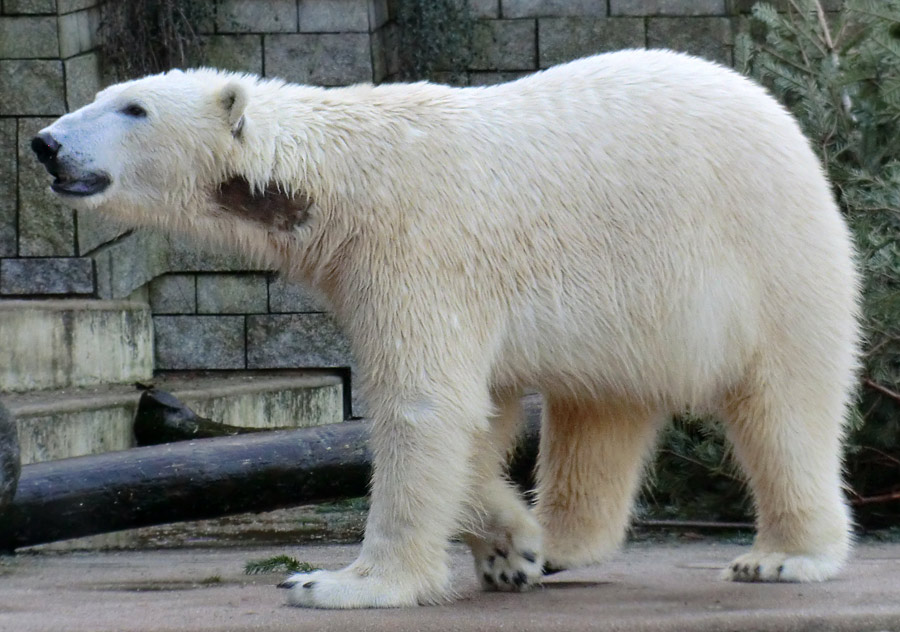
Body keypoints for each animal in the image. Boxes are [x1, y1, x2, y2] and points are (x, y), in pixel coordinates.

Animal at [35, 49, 860, 608]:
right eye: (102, 95)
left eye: (134, 109)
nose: (45, 142)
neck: (336, 181)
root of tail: (788, 126)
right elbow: (478, 415)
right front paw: (510, 546)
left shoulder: (416, 248)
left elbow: (423, 405)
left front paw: (340, 581)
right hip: (634, 306)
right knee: (600, 411)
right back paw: (557, 544)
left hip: (760, 253)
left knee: (783, 404)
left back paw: (782, 557)